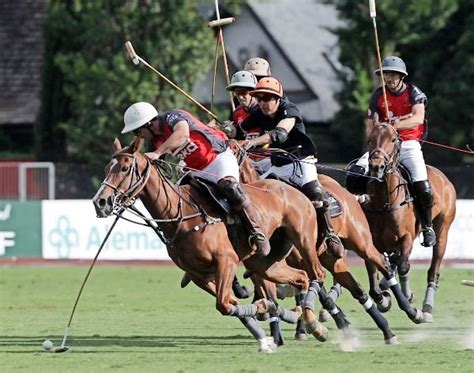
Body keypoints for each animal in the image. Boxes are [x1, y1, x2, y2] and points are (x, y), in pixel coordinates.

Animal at [91, 137, 330, 352]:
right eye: (106, 168)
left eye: (124, 168)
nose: (100, 202)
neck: (180, 214)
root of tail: (292, 188)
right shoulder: (199, 275)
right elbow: (230, 303)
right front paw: (265, 330)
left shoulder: (226, 261)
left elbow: (225, 303)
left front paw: (265, 313)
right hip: (264, 263)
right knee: (301, 277)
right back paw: (305, 319)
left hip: (304, 240)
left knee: (317, 273)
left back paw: (316, 324)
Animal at [364, 123, 458, 322]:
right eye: (369, 139)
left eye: (393, 139)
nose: (376, 167)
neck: (384, 202)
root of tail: (442, 176)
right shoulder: (370, 243)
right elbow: (374, 283)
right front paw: (384, 299)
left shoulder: (406, 237)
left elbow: (404, 266)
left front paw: (407, 297)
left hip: (443, 229)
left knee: (433, 269)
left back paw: (427, 308)